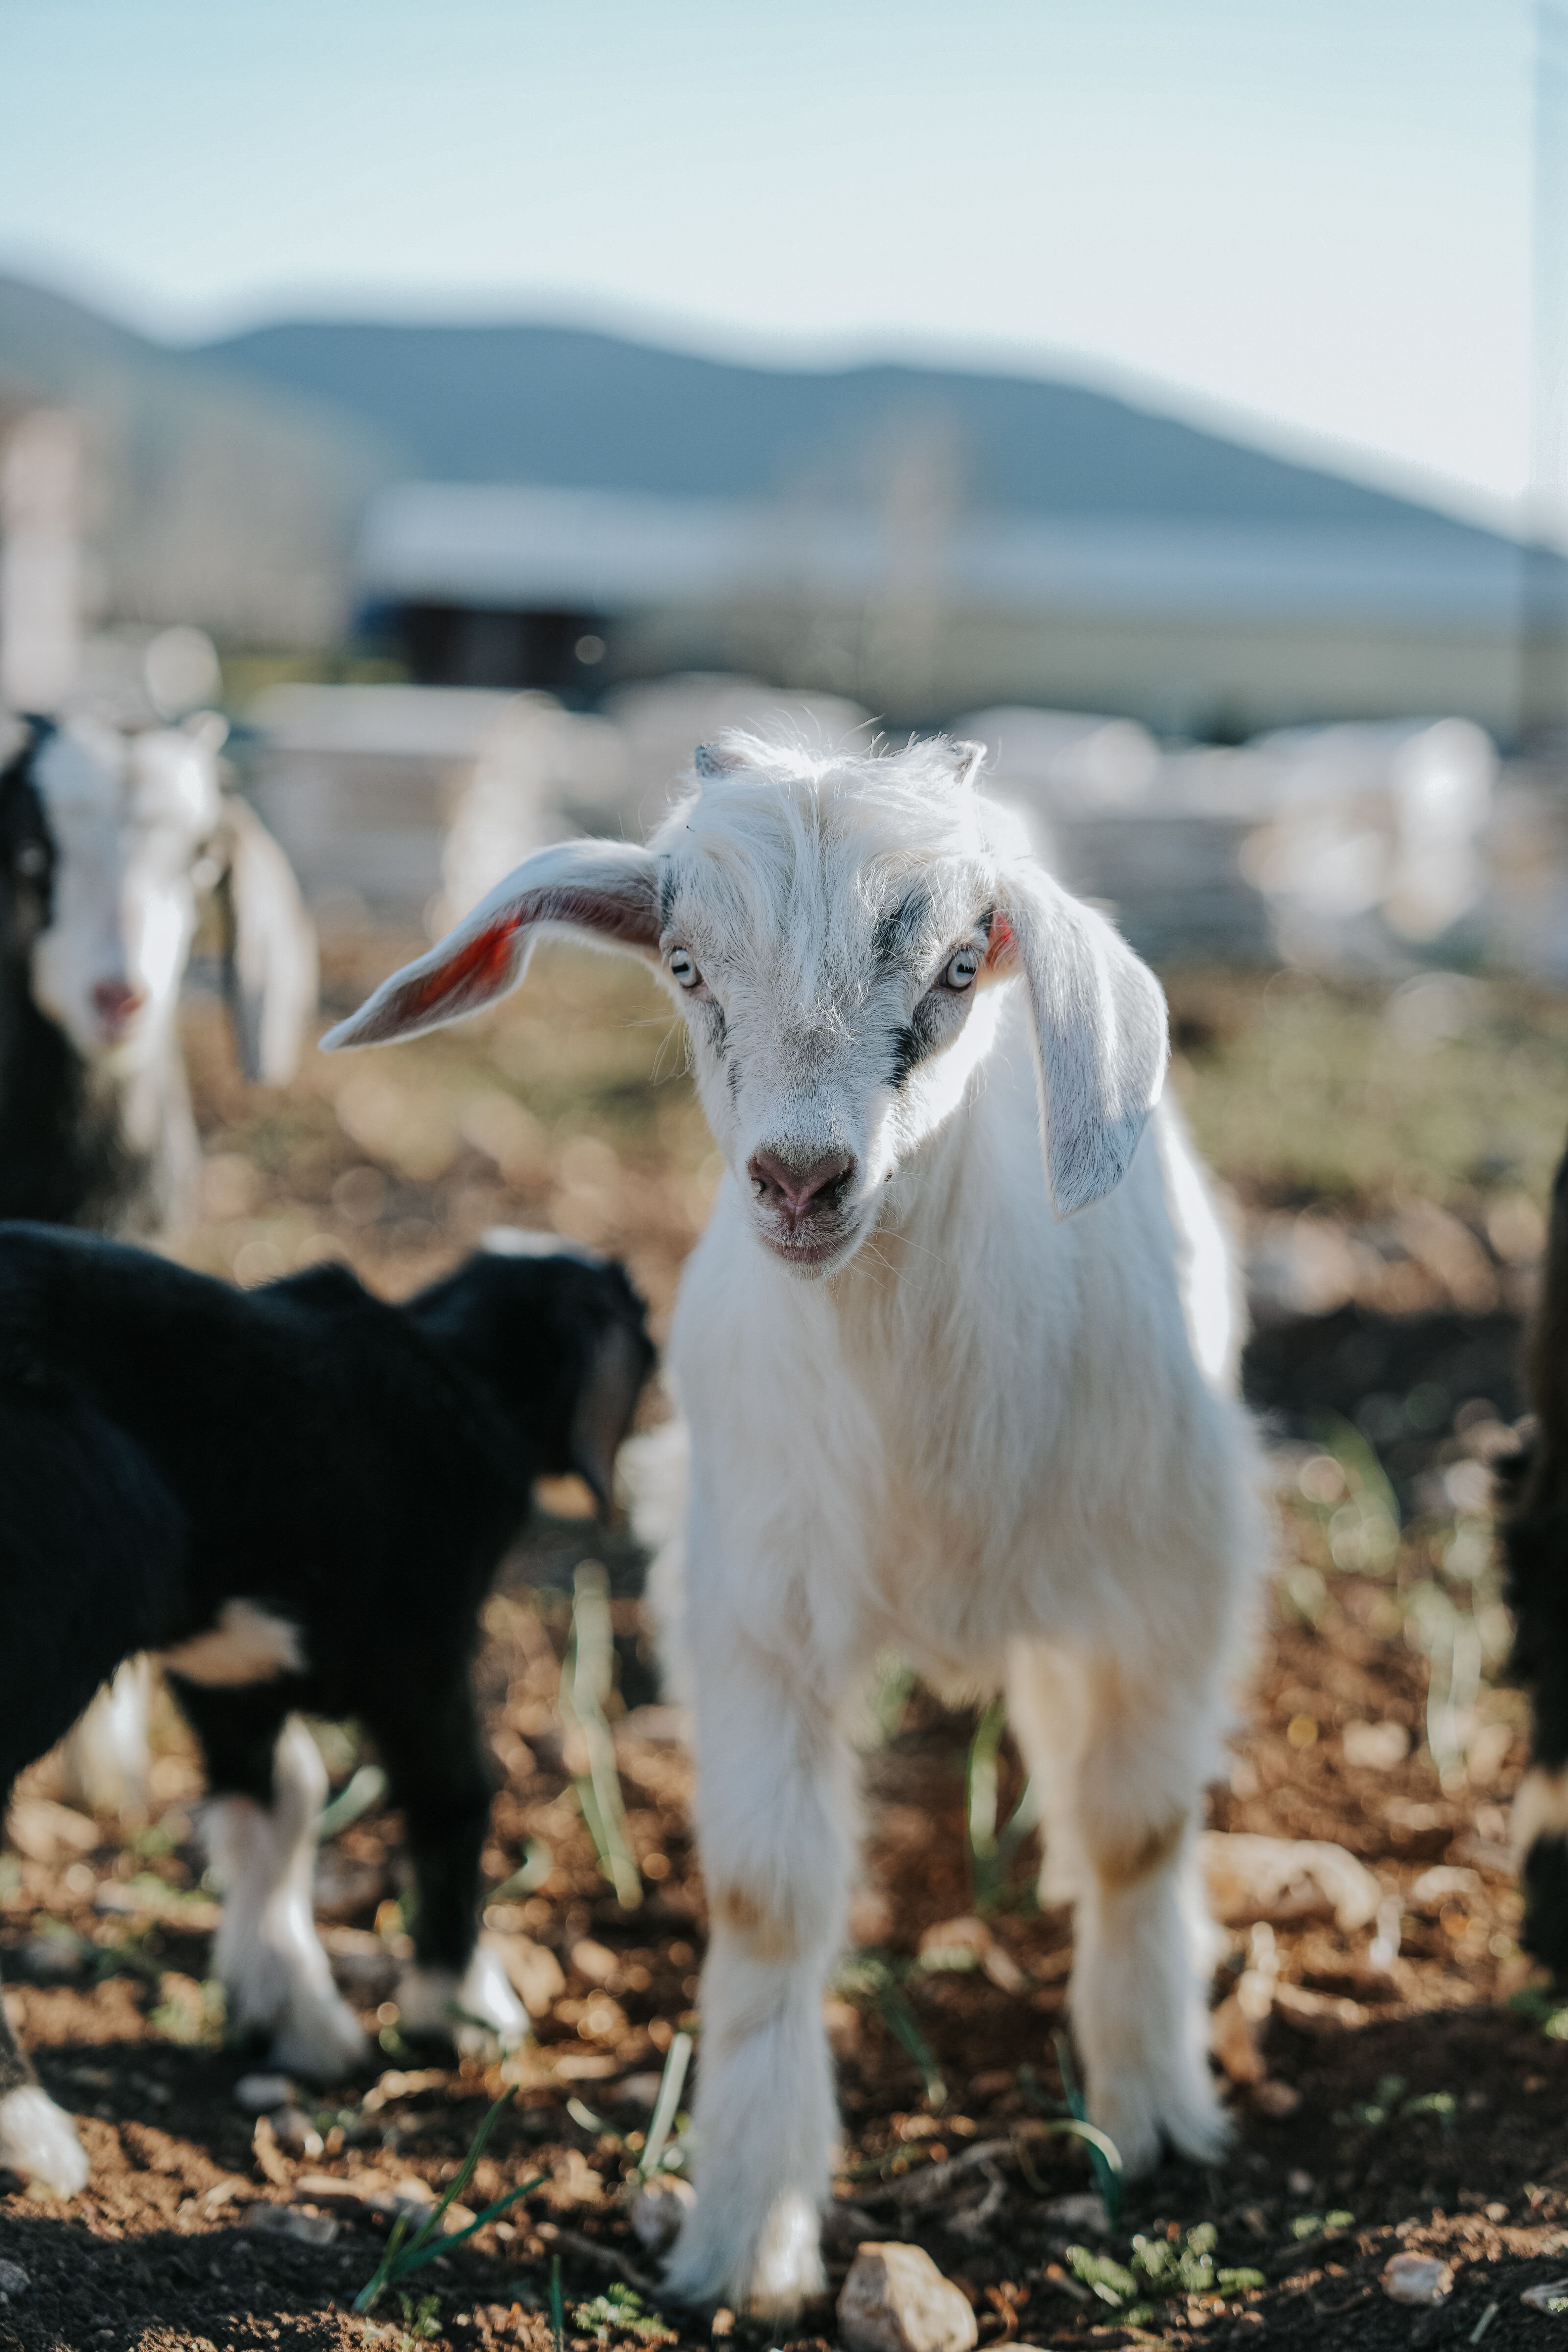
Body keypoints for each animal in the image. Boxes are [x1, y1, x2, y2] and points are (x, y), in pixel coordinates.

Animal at [0, 1224, 652, 2197]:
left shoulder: (229, 1664)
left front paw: (292, 2014)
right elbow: (455, 1793)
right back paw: (30, 2132)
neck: (459, 1367)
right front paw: (463, 2009)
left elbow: (279, 1798)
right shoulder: (418, 1642)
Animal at [325, 731, 1263, 2317]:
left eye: (959, 963)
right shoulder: (752, 1606)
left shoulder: (1165, 1584)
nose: (800, 1178)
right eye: (687, 965)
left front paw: (1146, 2116)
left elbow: (1138, 1836)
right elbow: (767, 1900)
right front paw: (744, 2238)